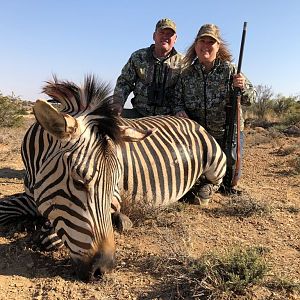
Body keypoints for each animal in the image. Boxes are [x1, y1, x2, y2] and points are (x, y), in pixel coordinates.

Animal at [0, 75, 225, 282]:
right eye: (79, 181)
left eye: (115, 184)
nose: (103, 270)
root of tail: (189, 119)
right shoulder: (33, 195)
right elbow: (5, 208)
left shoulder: (114, 200)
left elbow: (49, 237)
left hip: (215, 163)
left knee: (214, 183)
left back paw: (200, 193)